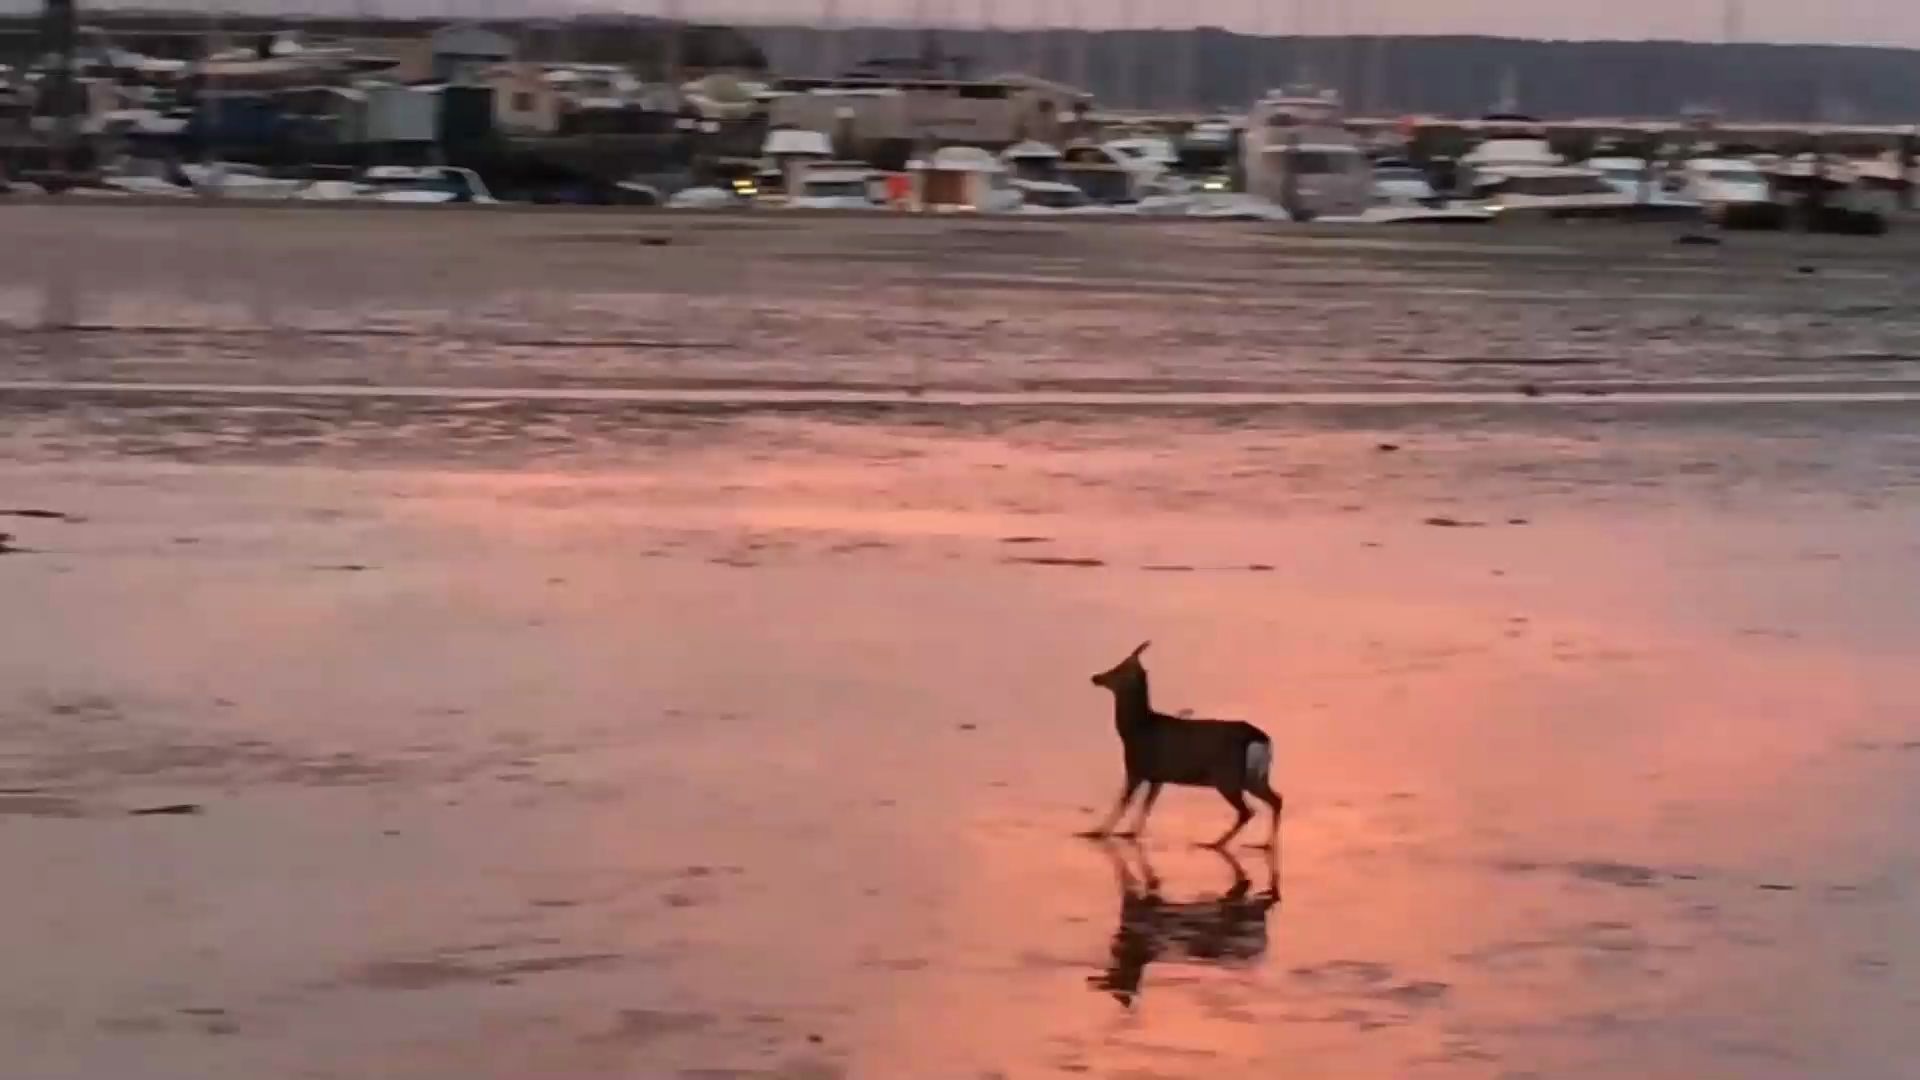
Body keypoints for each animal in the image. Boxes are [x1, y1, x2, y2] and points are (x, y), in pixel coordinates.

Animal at [1075, 638, 1282, 849]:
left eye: (1120, 668)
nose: (1096, 677)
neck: (1135, 730)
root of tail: (1262, 739)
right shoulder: (1158, 777)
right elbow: (1146, 806)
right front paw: (1129, 833)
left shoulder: (1136, 768)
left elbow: (1123, 802)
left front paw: (1096, 832)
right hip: (1254, 778)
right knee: (1276, 800)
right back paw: (1265, 843)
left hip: (1227, 777)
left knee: (1247, 811)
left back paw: (1215, 843)